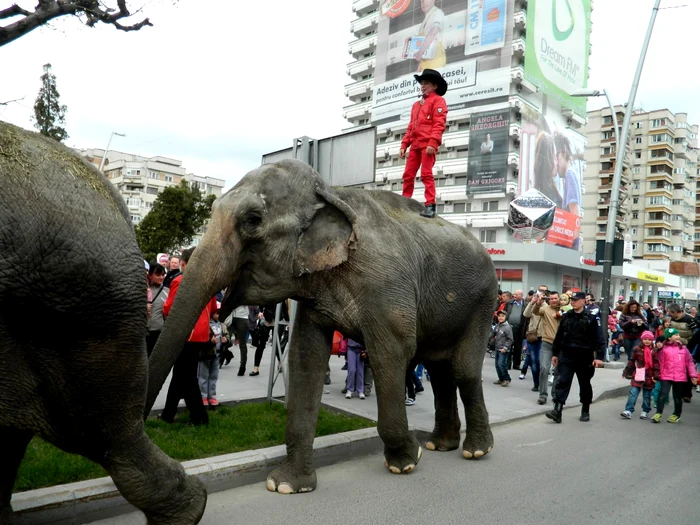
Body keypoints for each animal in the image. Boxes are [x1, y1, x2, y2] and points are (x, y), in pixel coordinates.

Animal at [148, 158, 498, 494]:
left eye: (252, 220)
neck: (330, 192)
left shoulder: (387, 285)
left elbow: (391, 353)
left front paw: (406, 461)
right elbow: (306, 357)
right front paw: (287, 485)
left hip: (484, 300)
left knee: (463, 370)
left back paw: (475, 451)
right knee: (439, 370)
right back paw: (441, 445)